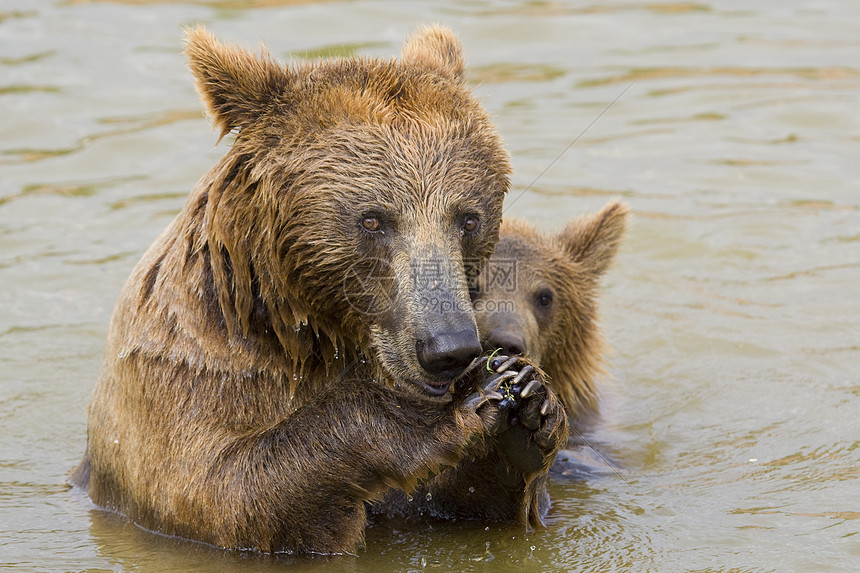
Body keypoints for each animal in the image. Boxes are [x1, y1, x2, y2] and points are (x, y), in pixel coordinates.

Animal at [70, 26, 568, 556]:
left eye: (468, 218)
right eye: (372, 219)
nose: (448, 348)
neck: (305, 329)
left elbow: (463, 508)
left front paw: (528, 404)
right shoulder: (185, 380)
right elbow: (223, 489)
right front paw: (450, 411)